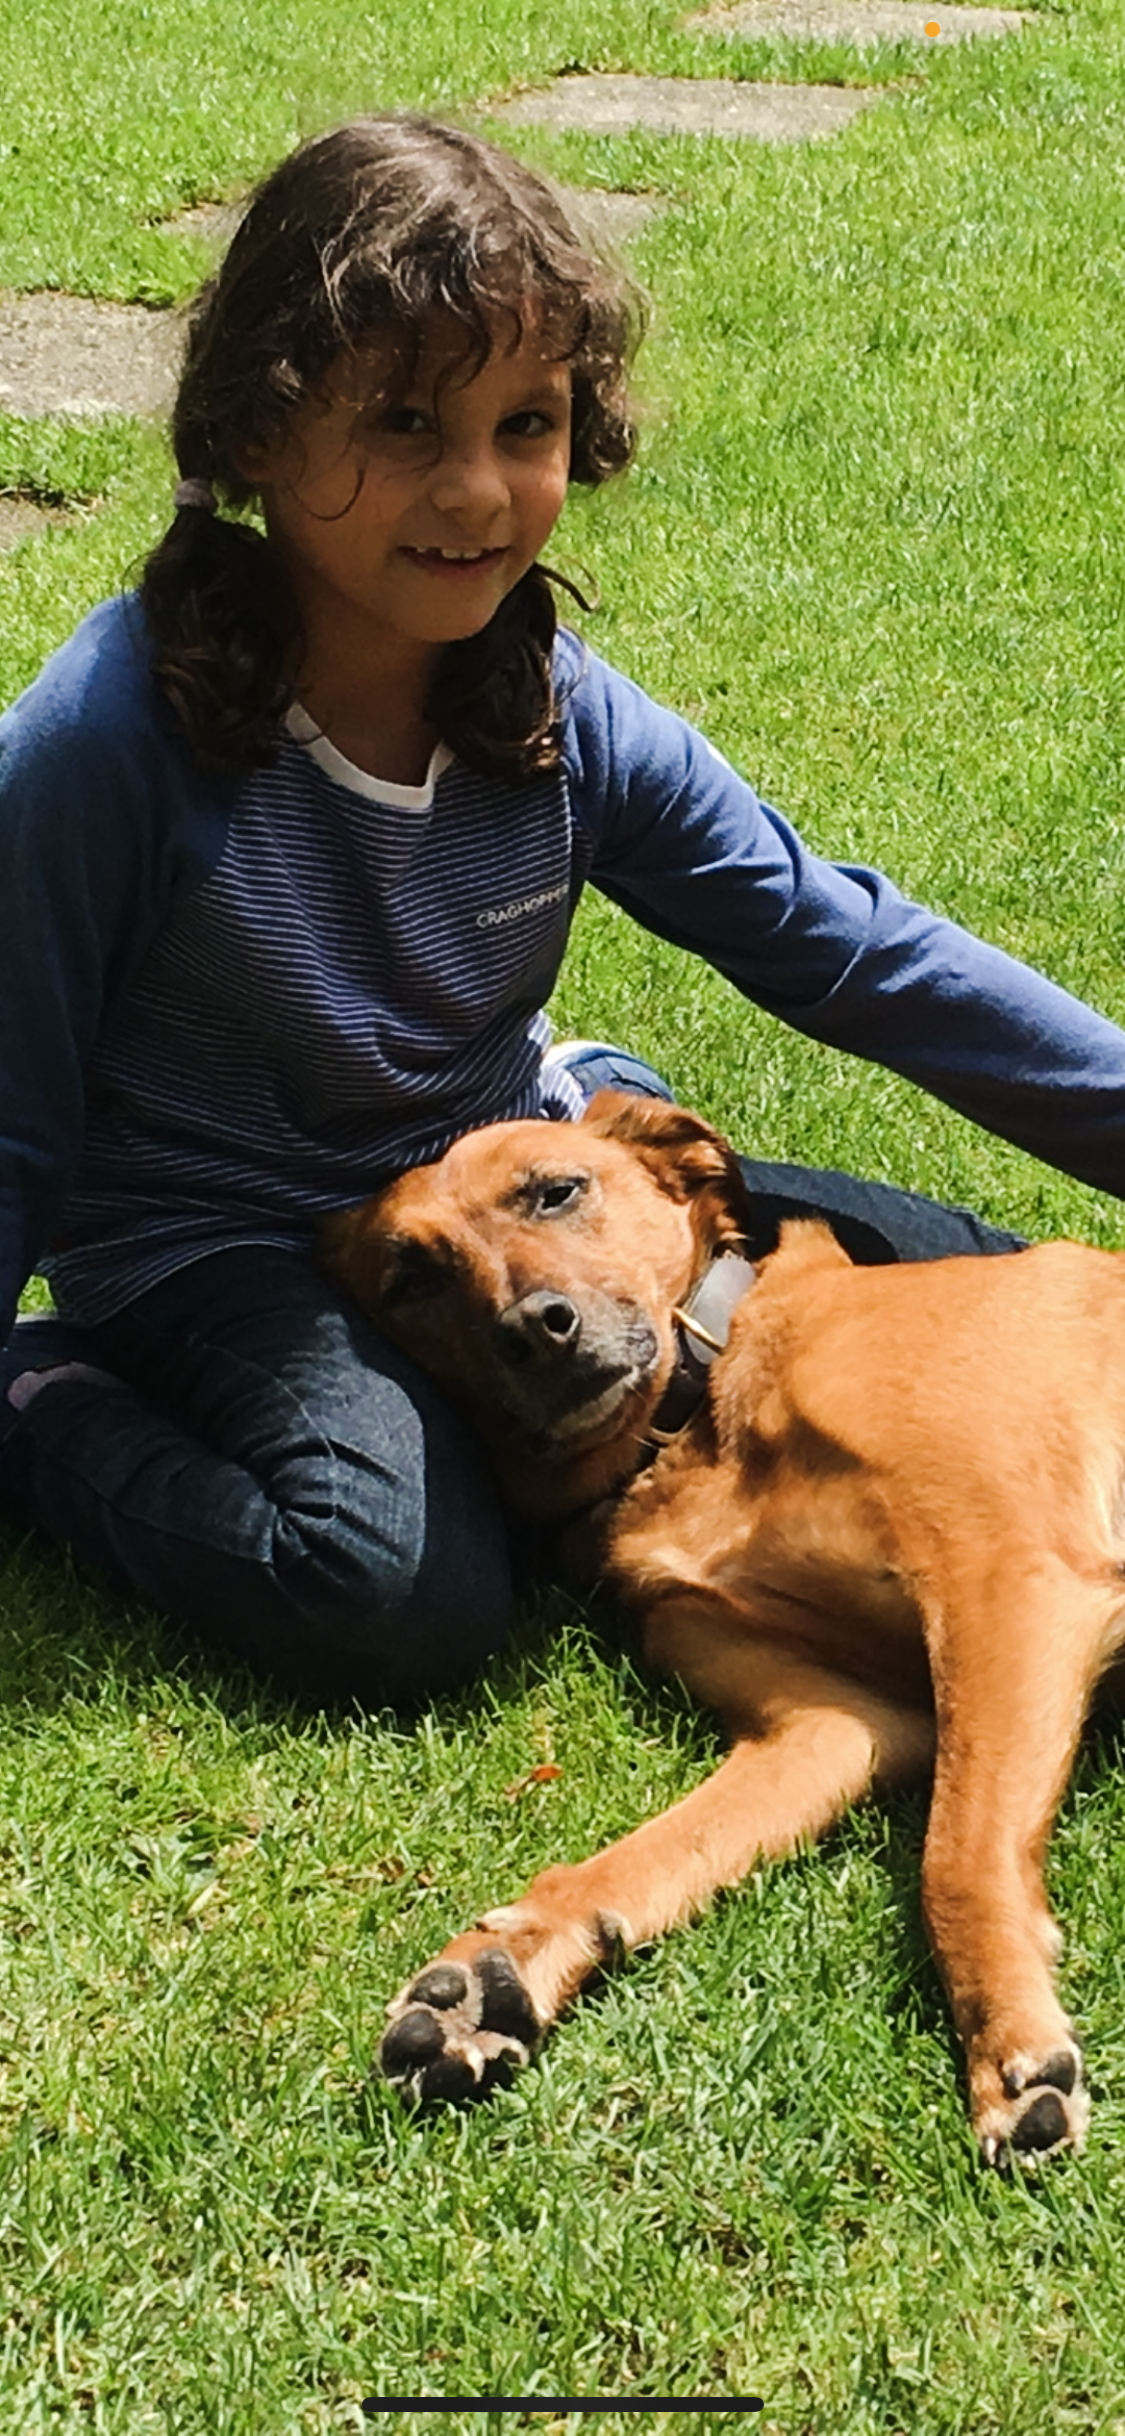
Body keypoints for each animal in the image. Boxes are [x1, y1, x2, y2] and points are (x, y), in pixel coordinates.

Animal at [321, 1091, 1125, 2164]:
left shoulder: (1005, 1575)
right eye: (411, 1277)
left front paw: (1008, 2039)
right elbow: (643, 1856)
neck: (692, 1422)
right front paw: (504, 1969)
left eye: (555, 1190)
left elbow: (955, 1855)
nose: (536, 1331)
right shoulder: (842, 1722)